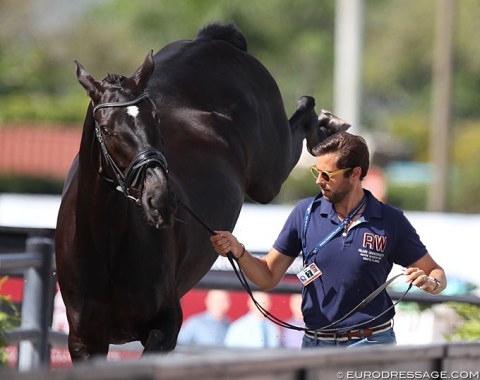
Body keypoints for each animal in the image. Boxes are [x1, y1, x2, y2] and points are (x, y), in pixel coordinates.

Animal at [55, 22, 348, 360]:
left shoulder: (166, 327)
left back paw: (328, 128)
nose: (160, 199)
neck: (106, 249)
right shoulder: (84, 342)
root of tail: (215, 40)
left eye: (155, 118)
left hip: (268, 176)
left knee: (303, 111)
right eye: (106, 129)